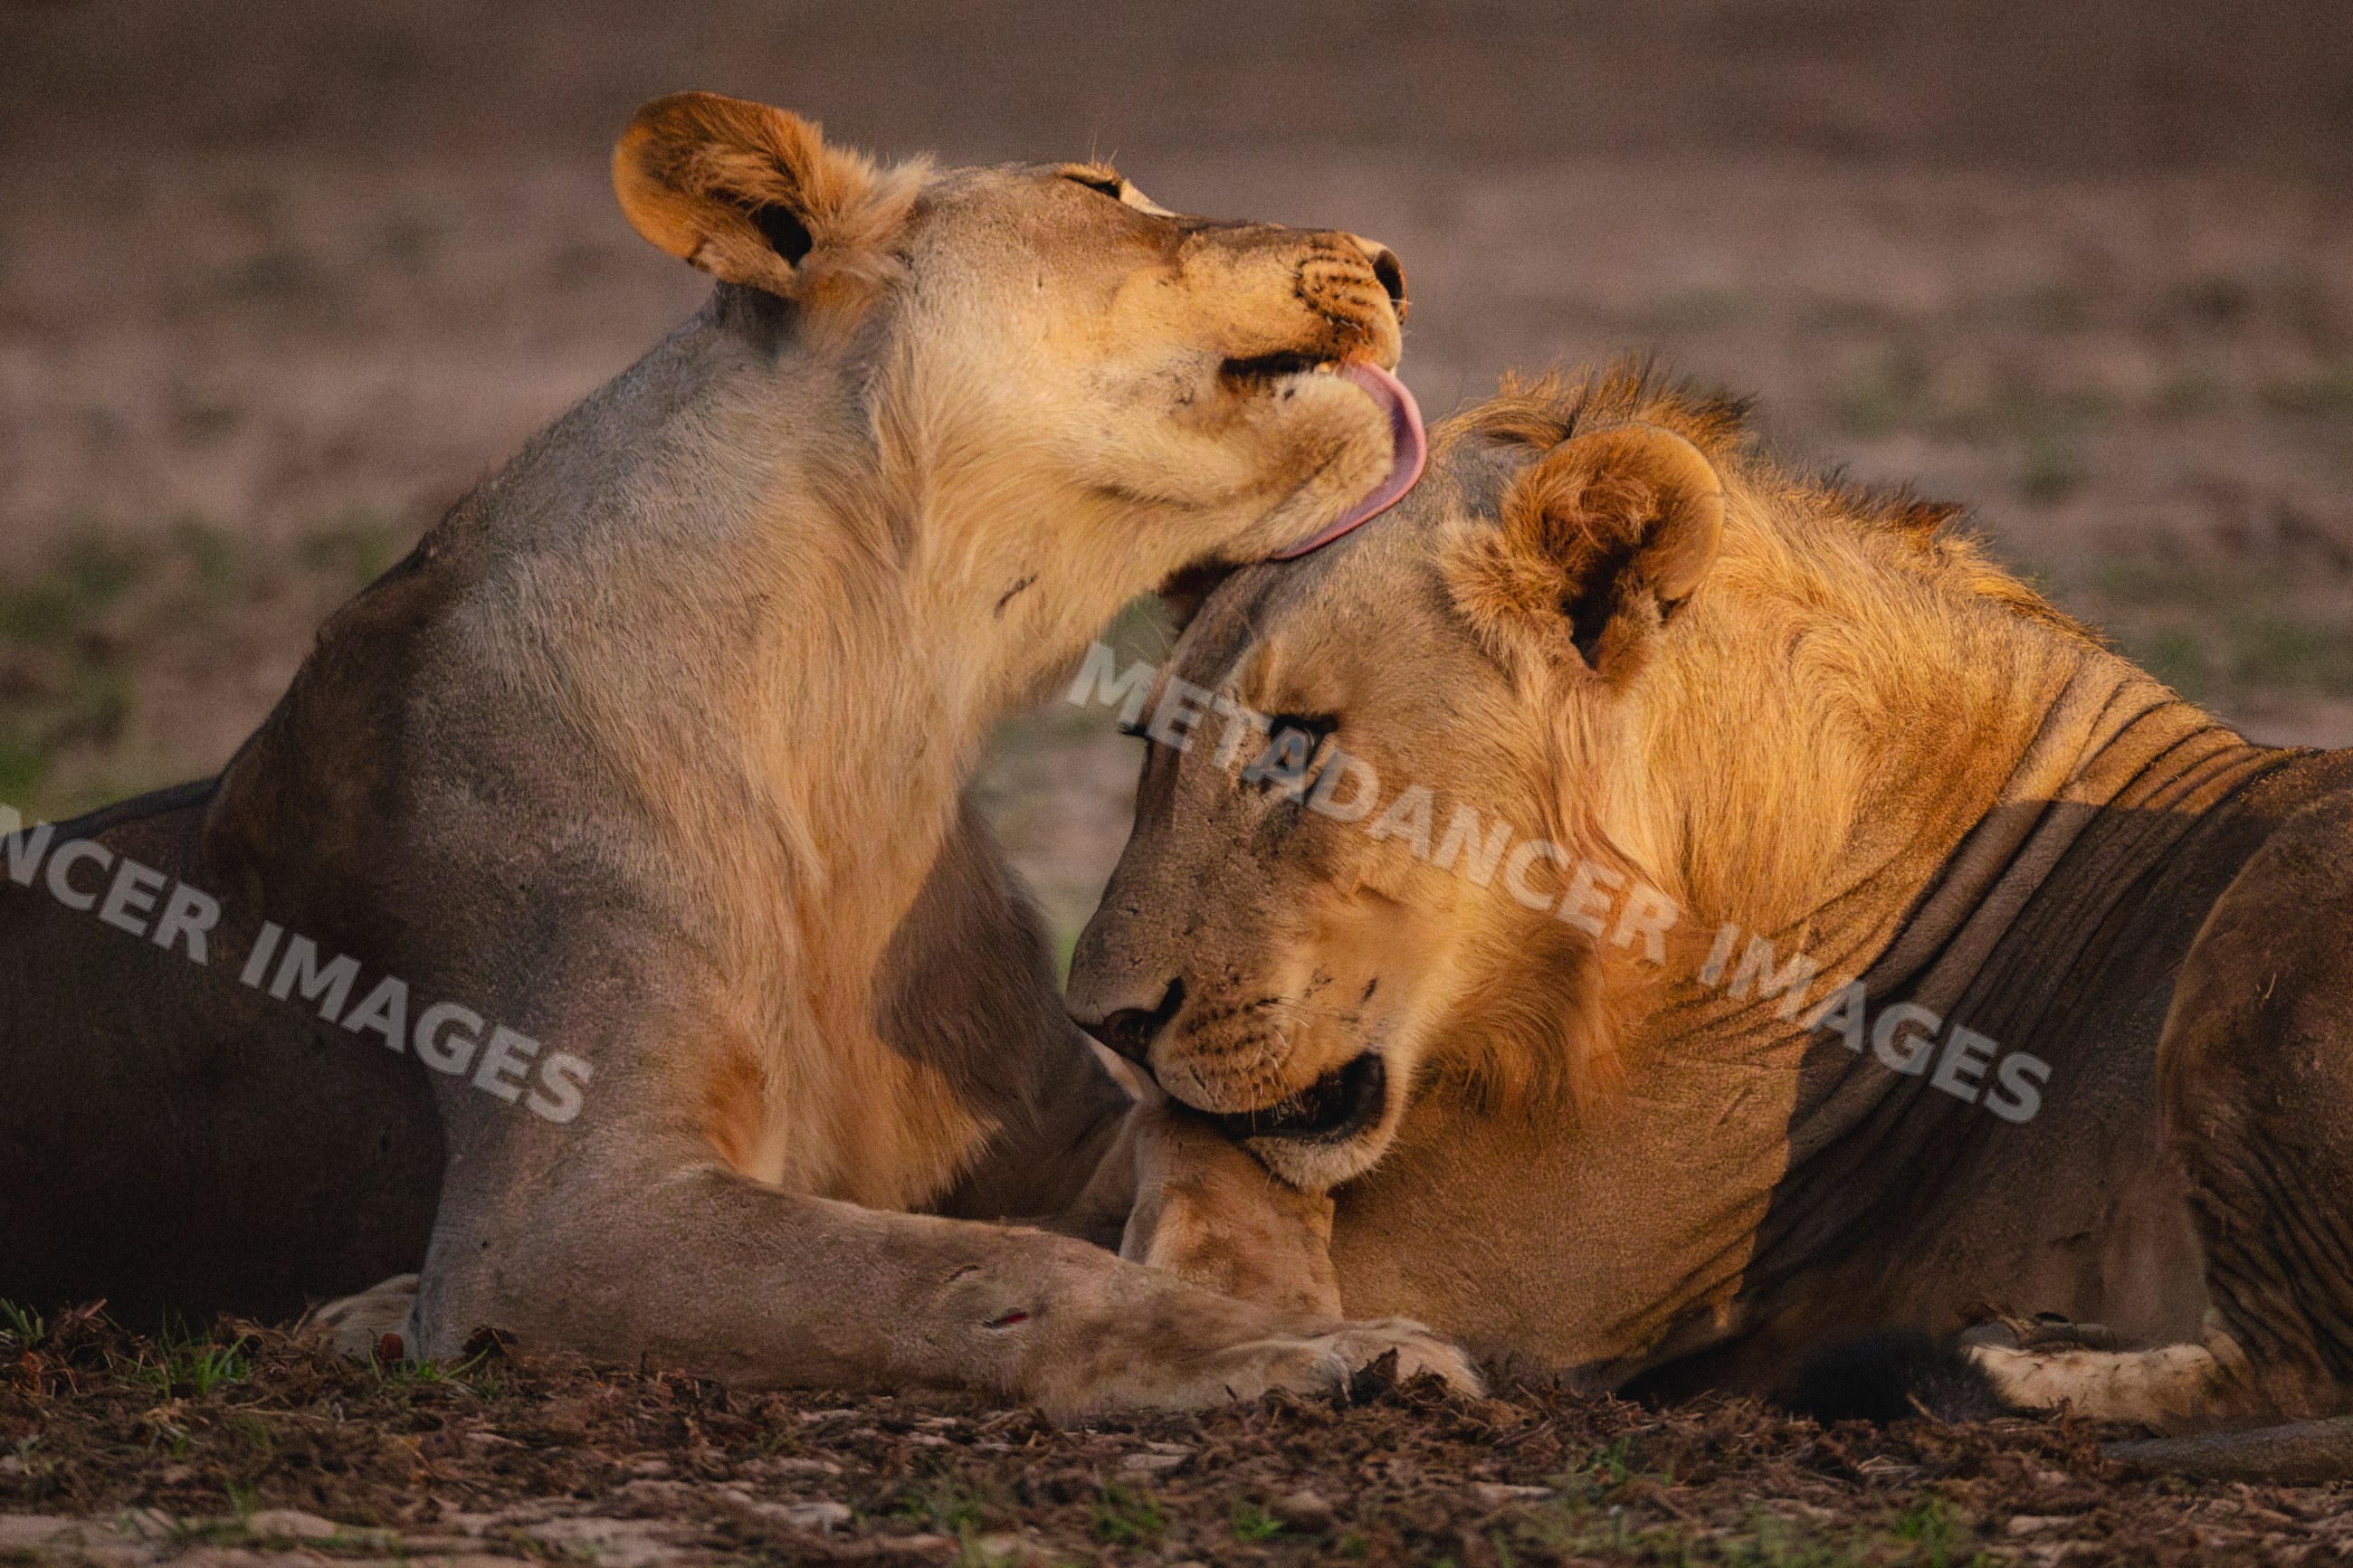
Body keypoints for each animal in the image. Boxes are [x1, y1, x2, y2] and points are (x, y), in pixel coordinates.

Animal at [0, 91, 1482, 1415]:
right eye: (1097, 188)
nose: (1395, 262)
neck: (876, 712)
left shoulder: (1051, 1128)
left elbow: (1197, 1137)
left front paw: (1284, 1282)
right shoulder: (552, 1222)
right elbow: (975, 1270)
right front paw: (1288, 1347)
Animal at [1068, 365, 2353, 1473]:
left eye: (1294, 747)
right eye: (1148, 743)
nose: (1103, 1022)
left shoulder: (1510, 1266)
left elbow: (1176, 1146)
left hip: (2272, 921)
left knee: (2299, 1361)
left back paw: (1976, 1366)